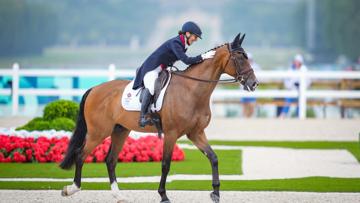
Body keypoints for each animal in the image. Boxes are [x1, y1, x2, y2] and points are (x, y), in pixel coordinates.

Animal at [59, 32, 258, 202]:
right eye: (240, 57)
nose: (254, 83)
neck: (192, 91)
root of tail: (94, 89)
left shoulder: (196, 133)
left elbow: (213, 158)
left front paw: (215, 193)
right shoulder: (171, 133)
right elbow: (165, 164)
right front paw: (163, 195)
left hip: (120, 130)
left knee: (110, 160)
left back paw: (119, 195)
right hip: (98, 132)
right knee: (80, 155)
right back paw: (72, 189)